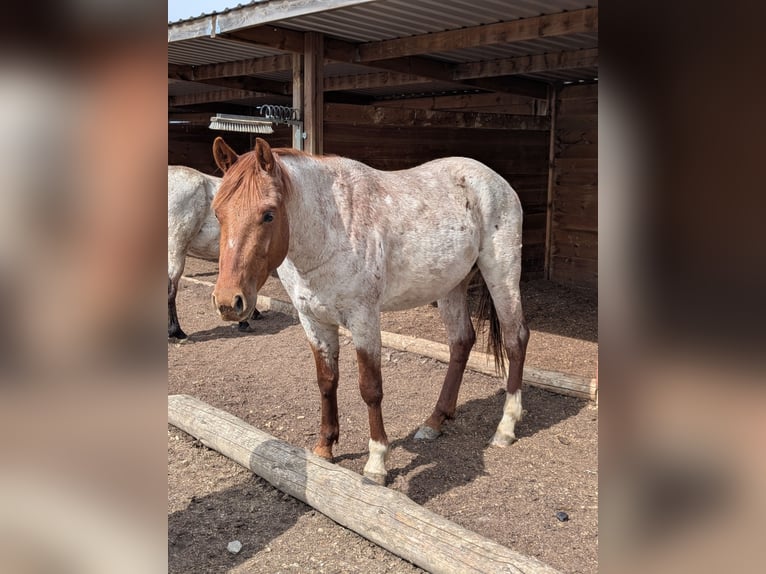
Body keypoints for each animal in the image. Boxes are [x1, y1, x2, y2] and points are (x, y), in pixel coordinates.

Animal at [210, 137, 529, 485]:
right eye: (218, 213)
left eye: (268, 215)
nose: (228, 302)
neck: (330, 231)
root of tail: (495, 181)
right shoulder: (314, 321)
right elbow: (327, 381)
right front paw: (324, 448)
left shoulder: (364, 320)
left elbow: (370, 388)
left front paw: (377, 463)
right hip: (451, 286)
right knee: (461, 342)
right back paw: (434, 421)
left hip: (502, 275)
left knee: (515, 339)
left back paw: (505, 428)